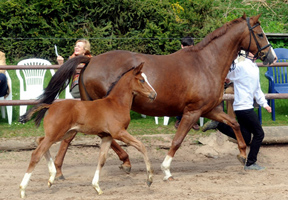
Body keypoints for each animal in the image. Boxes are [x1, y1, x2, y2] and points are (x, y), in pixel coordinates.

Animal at [19, 63, 156, 198]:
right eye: (142, 80)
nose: (154, 94)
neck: (116, 104)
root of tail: (51, 105)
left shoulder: (107, 137)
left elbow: (101, 160)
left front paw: (97, 187)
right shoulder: (119, 132)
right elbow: (141, 146)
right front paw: (149, 179)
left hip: (62, 134)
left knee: (39, 140)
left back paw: (51, 178)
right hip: (55, 134)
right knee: (36, 154)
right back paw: (23, 189)